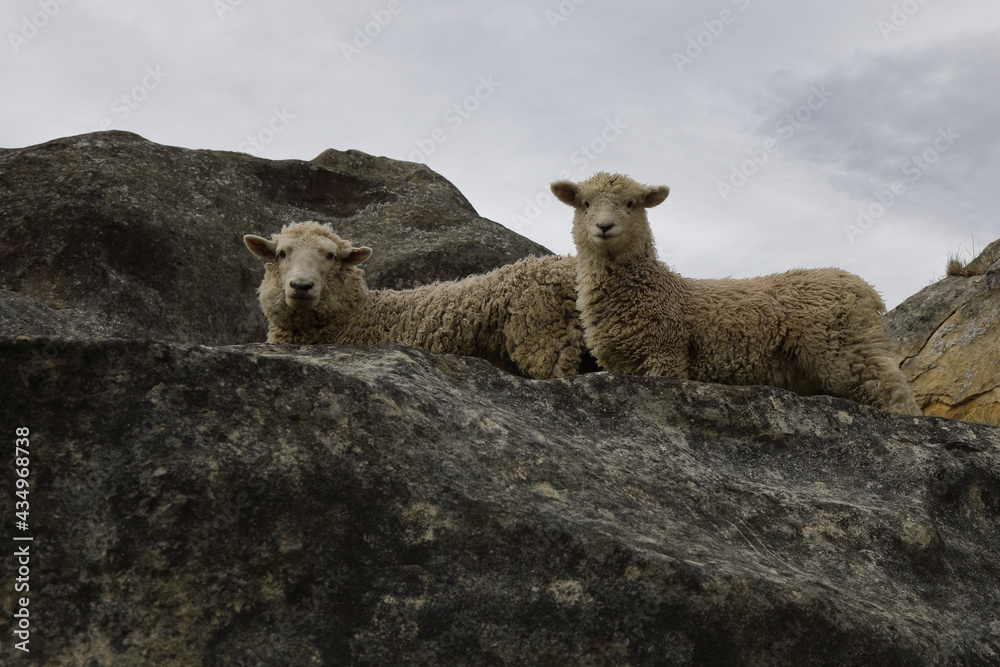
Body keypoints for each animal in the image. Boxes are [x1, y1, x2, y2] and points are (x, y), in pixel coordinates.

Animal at [551, 172, 921, 415]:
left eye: (631, 204)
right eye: (585, 204)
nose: (604, 227)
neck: (651, 286)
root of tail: (865, 288)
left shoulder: (666, 354)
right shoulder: (625, 365)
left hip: (845, 350)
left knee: (894, 393)